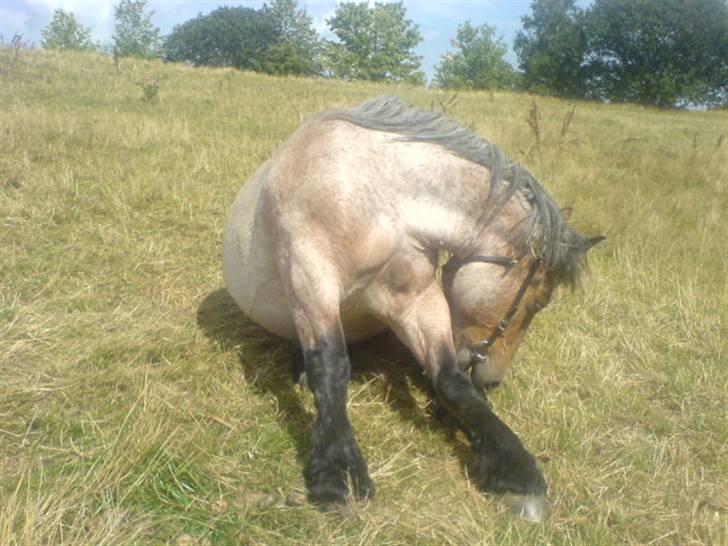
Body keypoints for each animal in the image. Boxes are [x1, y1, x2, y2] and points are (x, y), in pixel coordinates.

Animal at [220, 94, 604, 520]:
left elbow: (451, 378)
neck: (376, 197)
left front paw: (514, 470)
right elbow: (330, 367)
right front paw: (340, 474)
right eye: (539, 301)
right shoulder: (311, 279)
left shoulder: (415, 299)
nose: (493, 381)